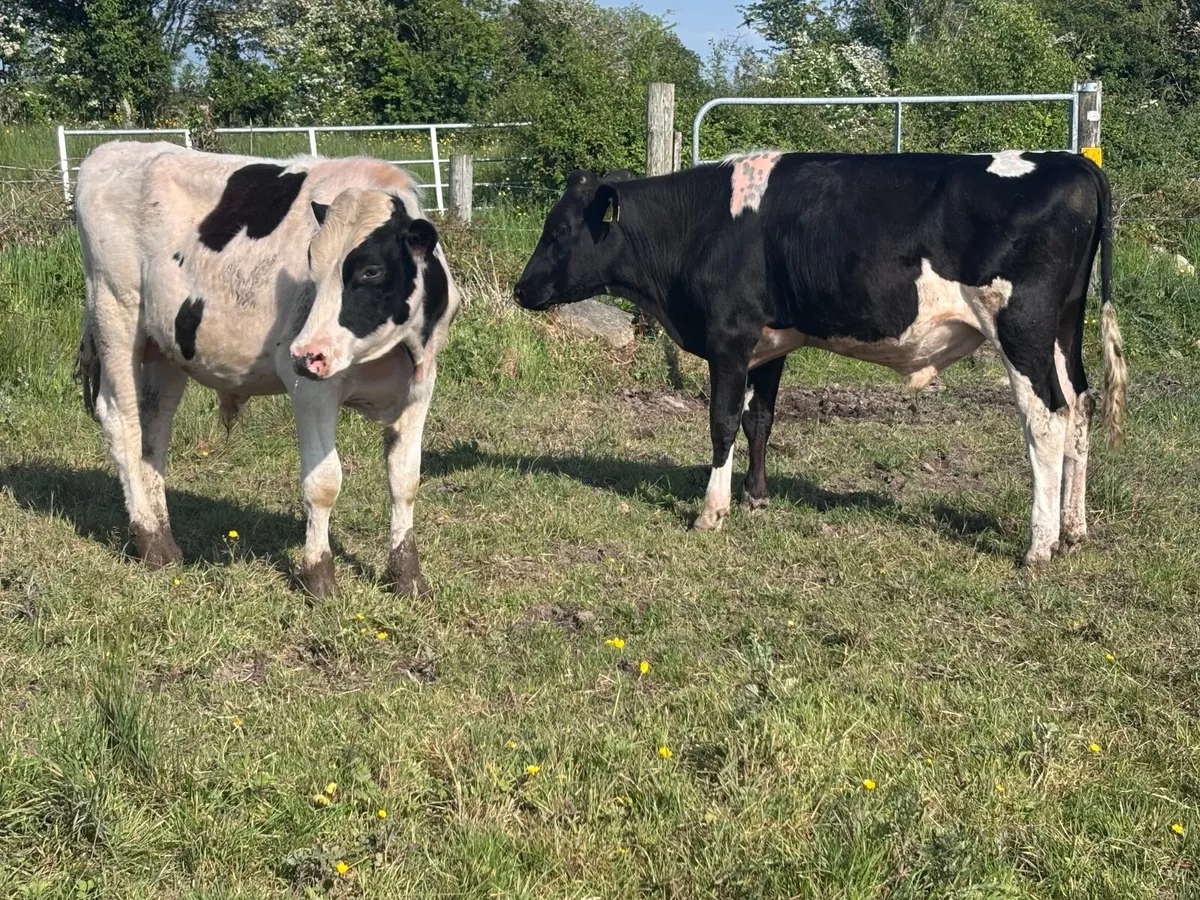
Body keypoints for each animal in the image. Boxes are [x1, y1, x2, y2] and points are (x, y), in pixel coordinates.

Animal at [74, 141, 460, 597]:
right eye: (312, 264)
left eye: (371, 270)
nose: (308, 353)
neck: (392, 350)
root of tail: (112, 149)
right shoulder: (311, 389)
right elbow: (323, 483)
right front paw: (319, 576)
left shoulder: (420, 385)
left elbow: (405, 479)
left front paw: (407, 576)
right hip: (115, 312)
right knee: (122, 421)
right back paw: (148, 541)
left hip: (166, 347)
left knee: (154, 430)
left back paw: (163, 539)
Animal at [513, 150, 1127, 567]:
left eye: (560, 230)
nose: (521, 290)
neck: (702, 225)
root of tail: (1072, 162)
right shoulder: (770, 343)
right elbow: (760, 419)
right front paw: (757, 498)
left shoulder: (729, 339)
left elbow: (722, 422)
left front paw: (712, 511)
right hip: (1063, 329)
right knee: (1080, 405)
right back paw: (1074, 529)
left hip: (1021, 328)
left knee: (1047, 417)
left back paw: (1039, 545)